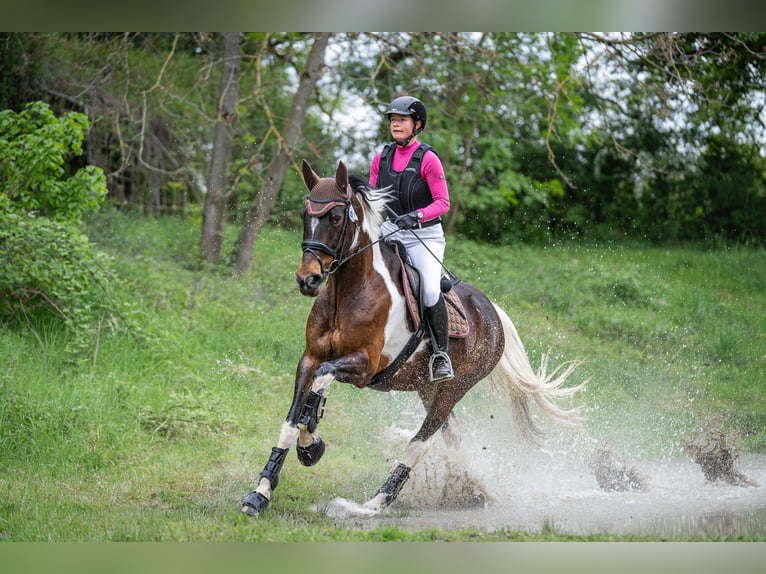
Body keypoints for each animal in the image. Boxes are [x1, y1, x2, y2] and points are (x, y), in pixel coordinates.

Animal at [241, 159, 586, 516]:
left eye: (335, 217)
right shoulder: (309, 359)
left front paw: (311, 446)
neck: (348, 293)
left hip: (452, 388)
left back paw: (376, 502)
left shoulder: (365, 367)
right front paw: (261, 491)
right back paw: (469, 486)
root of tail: (493, 311)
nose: (307, 280)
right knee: (452, 435)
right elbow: (292, 419)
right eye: (304, 215)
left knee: (421, 441)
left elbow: (319, 386)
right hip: (426, 387)